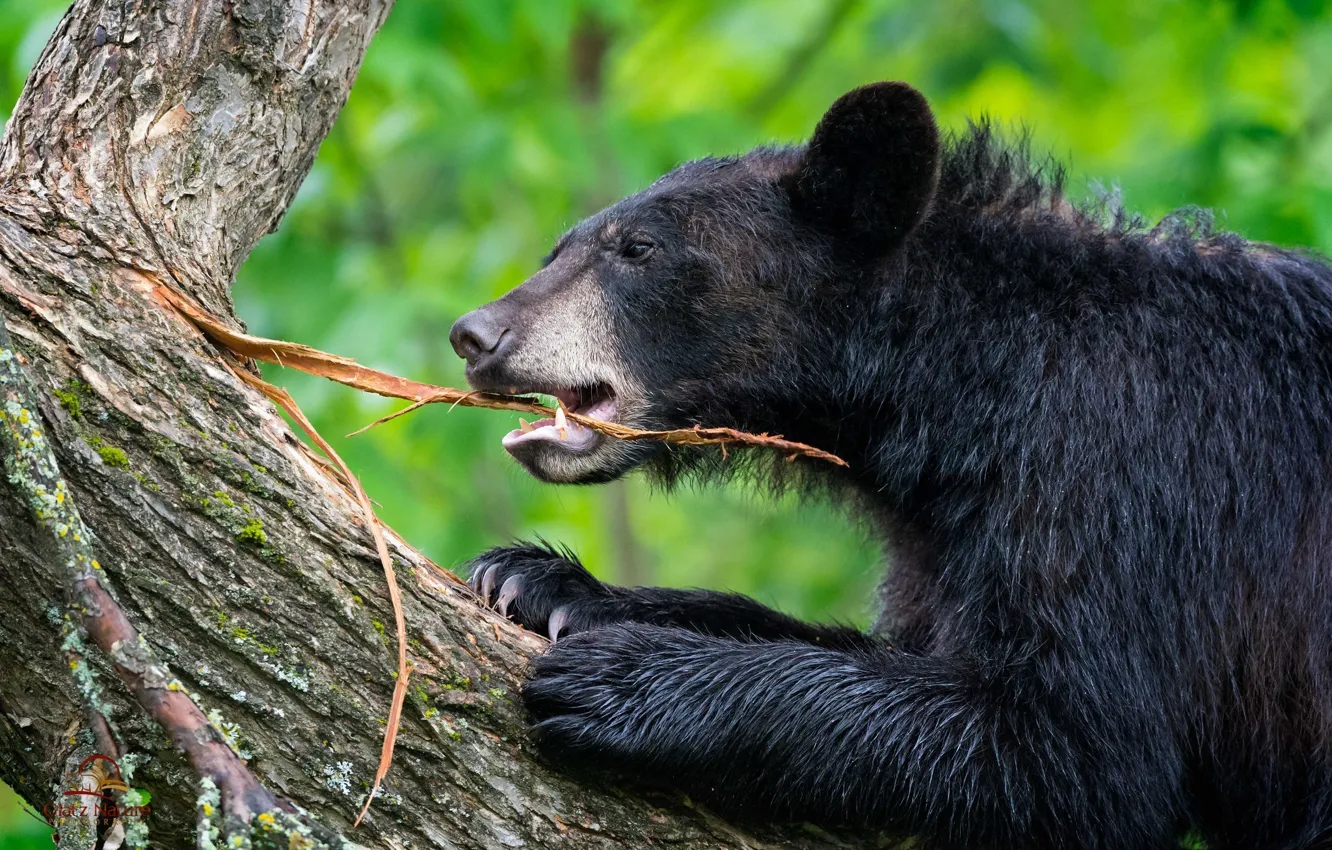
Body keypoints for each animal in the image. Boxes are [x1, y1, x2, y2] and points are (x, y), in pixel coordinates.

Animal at [447, 82, 1332, 850]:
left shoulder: (1119, 469)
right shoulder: (943, 531)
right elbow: (903, 644)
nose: (477, 335)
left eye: (637, 249)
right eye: (558, 247)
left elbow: (1077, 748)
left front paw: (624, 678)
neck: (967, 374)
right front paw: (545, 582)